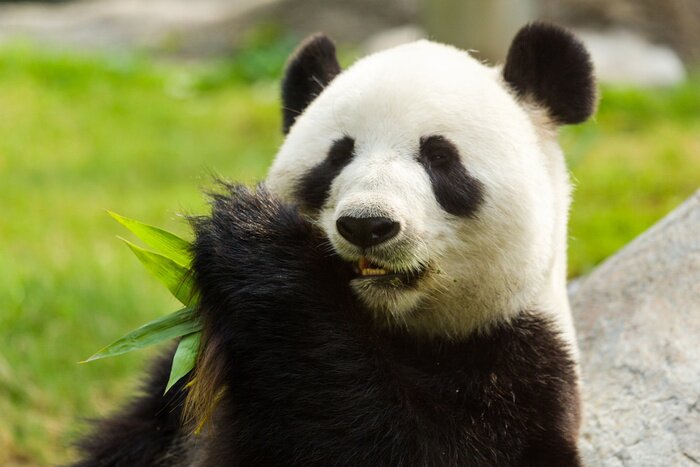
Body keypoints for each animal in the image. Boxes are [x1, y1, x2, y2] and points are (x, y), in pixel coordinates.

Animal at [74, 22, 596, 466]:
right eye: (337, 156)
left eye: (440, 157)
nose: (367, 225)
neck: (392, 324)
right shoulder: (183, 381)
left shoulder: (520, 372)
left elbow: (394, 440)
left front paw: (256, 240)